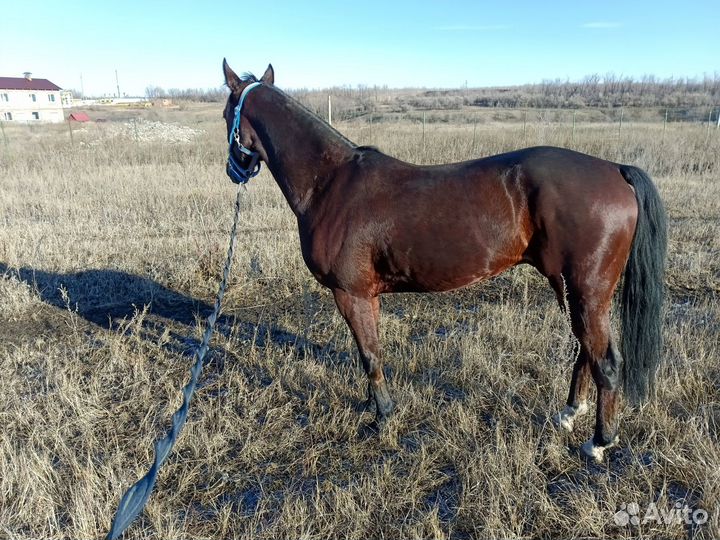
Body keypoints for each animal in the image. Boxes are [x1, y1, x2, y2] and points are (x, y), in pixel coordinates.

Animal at [222, 61, 668, 462]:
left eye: (227, 114)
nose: (233, 170)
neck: (331, 184)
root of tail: (615, 170)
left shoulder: (351, 294)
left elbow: (369, 354)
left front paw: (384, 416)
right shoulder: (367, 296)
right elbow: (370, 350)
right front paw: (371, 405)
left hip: (588, 291)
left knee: (605, 360)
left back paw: (599, 442)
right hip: (579, 291)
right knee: (585, 351)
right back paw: (569, 413)